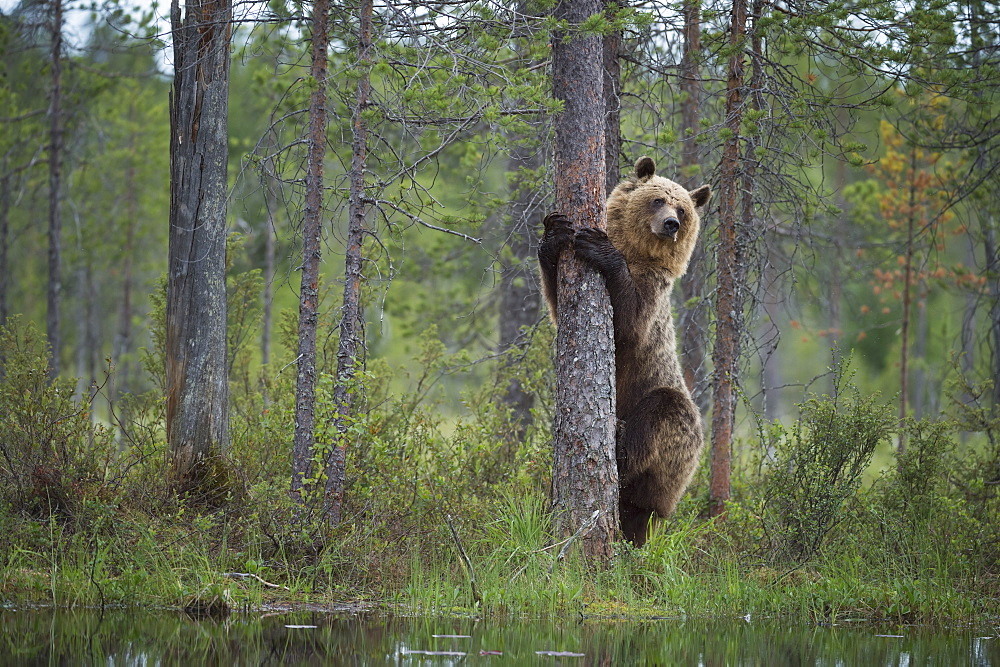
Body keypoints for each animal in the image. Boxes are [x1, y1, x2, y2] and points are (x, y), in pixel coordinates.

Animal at [540, 157, 712, 548]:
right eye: (657, 200)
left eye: (682, 208)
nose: (671, 224)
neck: (638, 254)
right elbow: (557, 303)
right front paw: (555, 232)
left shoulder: (653, 290)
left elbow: (629, 327)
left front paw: (599, 247)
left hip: (676, 447)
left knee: (660, 416)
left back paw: (619, 444)